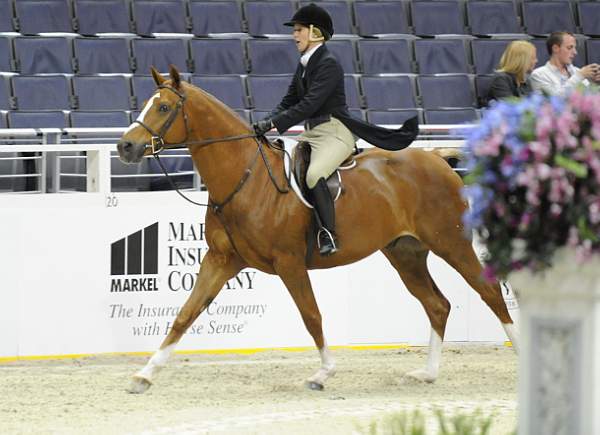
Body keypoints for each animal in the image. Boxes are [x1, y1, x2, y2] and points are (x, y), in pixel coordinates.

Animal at [118, 65, 520, 396]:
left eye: (164, 108)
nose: (125, 146)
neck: (245, 177)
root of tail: (438, 160)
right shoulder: (221, 260)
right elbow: (185, 314)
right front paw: (144, 375)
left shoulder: (289, 263)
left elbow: (311, 316)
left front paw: (323, 373)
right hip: (405, 252)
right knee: (437, 305)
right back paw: (427, 373)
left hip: (451, 242)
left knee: (489, 292)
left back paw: (518, 354)